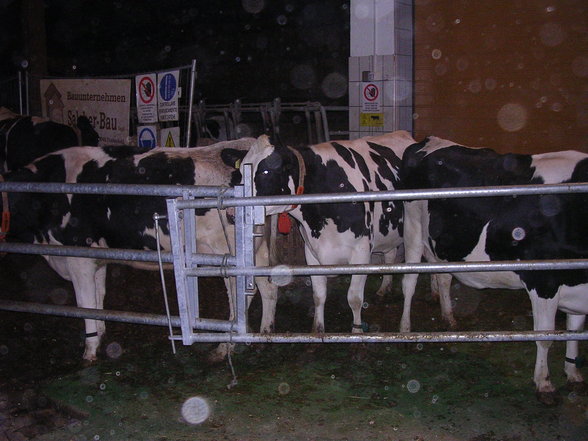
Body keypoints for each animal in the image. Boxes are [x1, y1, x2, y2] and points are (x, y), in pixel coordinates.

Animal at [1, 139, 278, 362]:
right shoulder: (97, 255)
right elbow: (97, 299)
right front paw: (100, 334)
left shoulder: (78, 254)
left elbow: (84, 303)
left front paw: (89, 351)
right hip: (257, 249)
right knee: (267, 286)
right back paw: (265, 334)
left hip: (229, 253)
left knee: (240, 296)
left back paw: (224, 348)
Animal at [240, 131, 418, 334]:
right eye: (241, 172)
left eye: (266, 171)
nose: (231, 212)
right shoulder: (311, 251)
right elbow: (318, 295)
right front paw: (317, 330)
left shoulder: (361, 253)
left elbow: (354, 298)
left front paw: (357, 332)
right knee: (390, 255)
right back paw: (384, 288)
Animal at [400, 136, 588, 404]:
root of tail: (428, 140)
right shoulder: (543, 280)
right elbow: (545, 336)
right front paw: (544, 384)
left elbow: (574, 330)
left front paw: (573, 374)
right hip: (413, 230)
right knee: (409, 283)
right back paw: (405, 332)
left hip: (442, 248)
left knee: (444, 279)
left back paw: (449, 319)